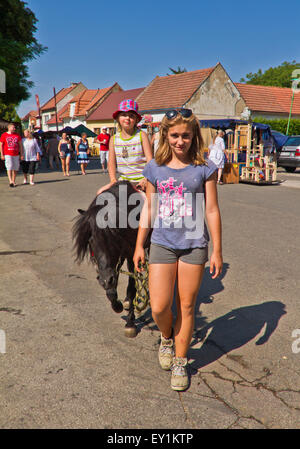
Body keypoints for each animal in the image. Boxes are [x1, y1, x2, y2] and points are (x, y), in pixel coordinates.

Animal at [71, 180, 149, 338]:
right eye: (90, 240)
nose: (105, 280)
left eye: (113, 234)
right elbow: (112, 288)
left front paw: (130, 323)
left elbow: (131, 286)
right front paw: (117, 304)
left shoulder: (131, 254)